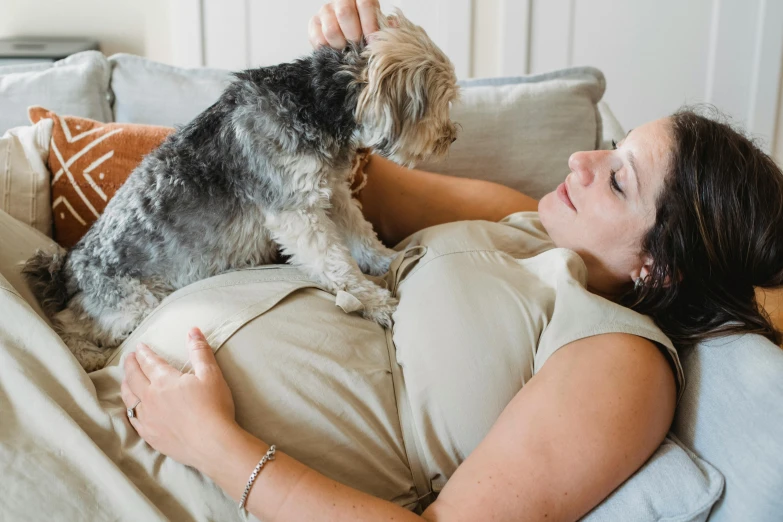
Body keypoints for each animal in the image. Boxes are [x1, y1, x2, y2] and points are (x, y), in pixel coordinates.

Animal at [24, 10, 462, 372]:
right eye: (442, 101)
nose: (452, 137)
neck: (316, 102)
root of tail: (67, 268)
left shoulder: (333, 194)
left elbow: (361, 235)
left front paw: (388, 258)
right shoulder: (296, 210)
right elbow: (337, 263)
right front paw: (374, 302)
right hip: (130, 303)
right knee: (69, 325)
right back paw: (89, 356)